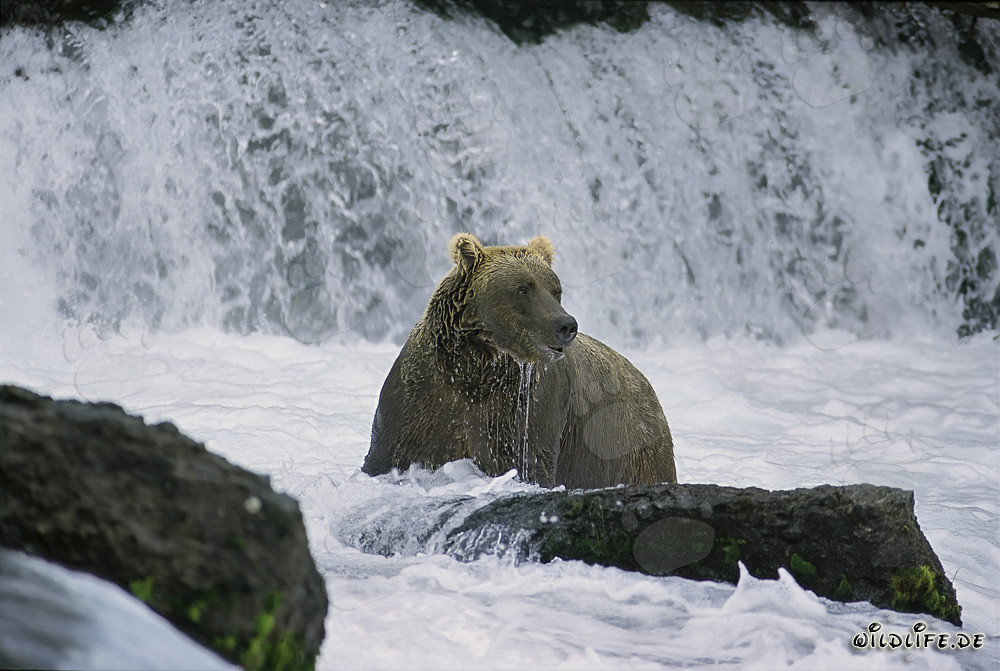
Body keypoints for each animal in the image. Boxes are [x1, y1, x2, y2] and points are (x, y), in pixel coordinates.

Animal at [362, 233, 676, 489]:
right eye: (523, 289)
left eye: (556, 290)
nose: (565, 325)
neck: (475, 366)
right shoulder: (422, 392)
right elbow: (388, 452)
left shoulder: (526, 405)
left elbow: (526, 461)